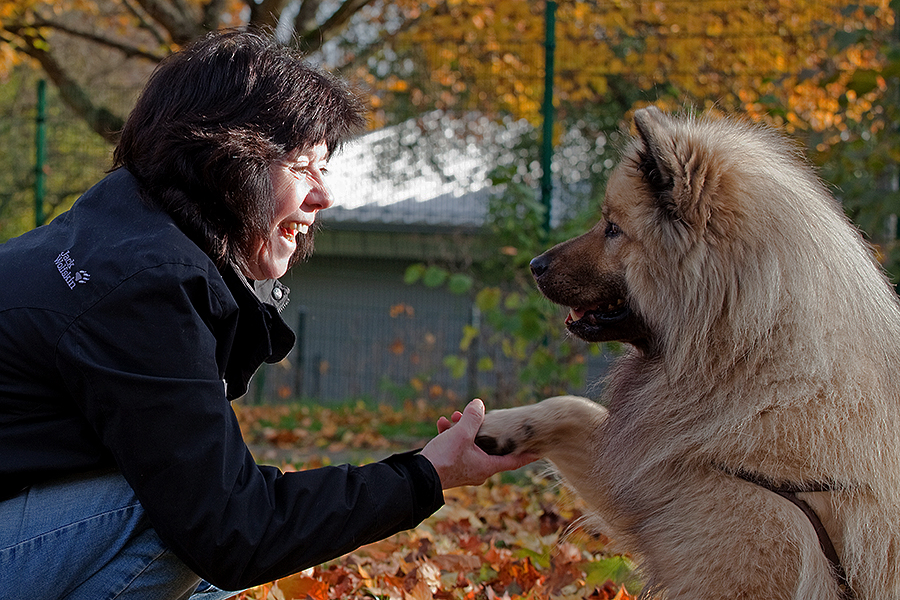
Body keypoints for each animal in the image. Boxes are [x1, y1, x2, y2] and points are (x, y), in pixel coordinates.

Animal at [474, 108, 900, 600]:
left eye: (613, 228)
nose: (534, 266)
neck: (751, 356)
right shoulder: (655, 476)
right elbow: (573, 407)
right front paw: (494, 427)